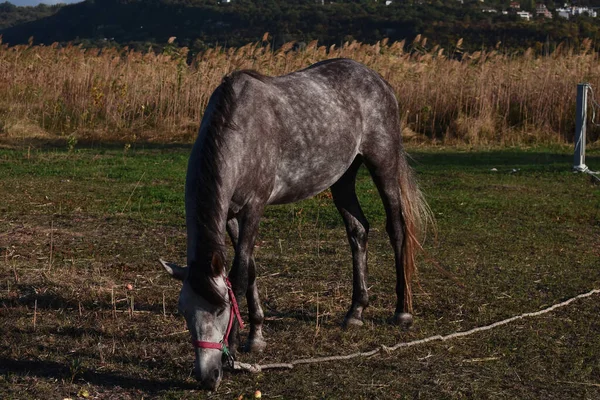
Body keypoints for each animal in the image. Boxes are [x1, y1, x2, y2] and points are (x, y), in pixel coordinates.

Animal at [159, 57, 432, 390]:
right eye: (182, 310)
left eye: (222, 309)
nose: (208, 377)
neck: (241, 133)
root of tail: (378, 79)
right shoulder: (232, 216)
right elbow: (249, 269)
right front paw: (256, 334)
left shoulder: (253, 208)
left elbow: (239, 275)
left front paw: (236, 345)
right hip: (343, 177)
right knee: (358, 231)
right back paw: (355, 311)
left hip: (384, 164)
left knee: (397, 230)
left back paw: (402, 311)